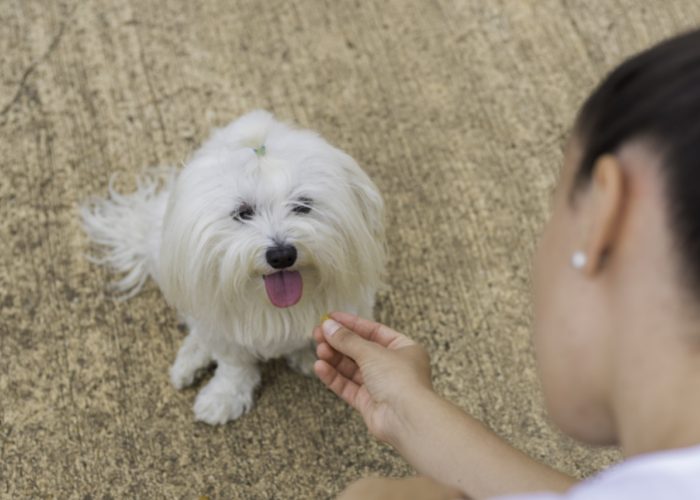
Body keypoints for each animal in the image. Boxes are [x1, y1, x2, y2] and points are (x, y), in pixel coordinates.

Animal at [85, 111, 388, 424]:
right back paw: (191, 359)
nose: (281, 255)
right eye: (243, 213)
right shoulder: (223, 328)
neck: (275, 306)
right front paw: (223, 398)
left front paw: (314, 355)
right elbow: (234, 367)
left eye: (303, 205)